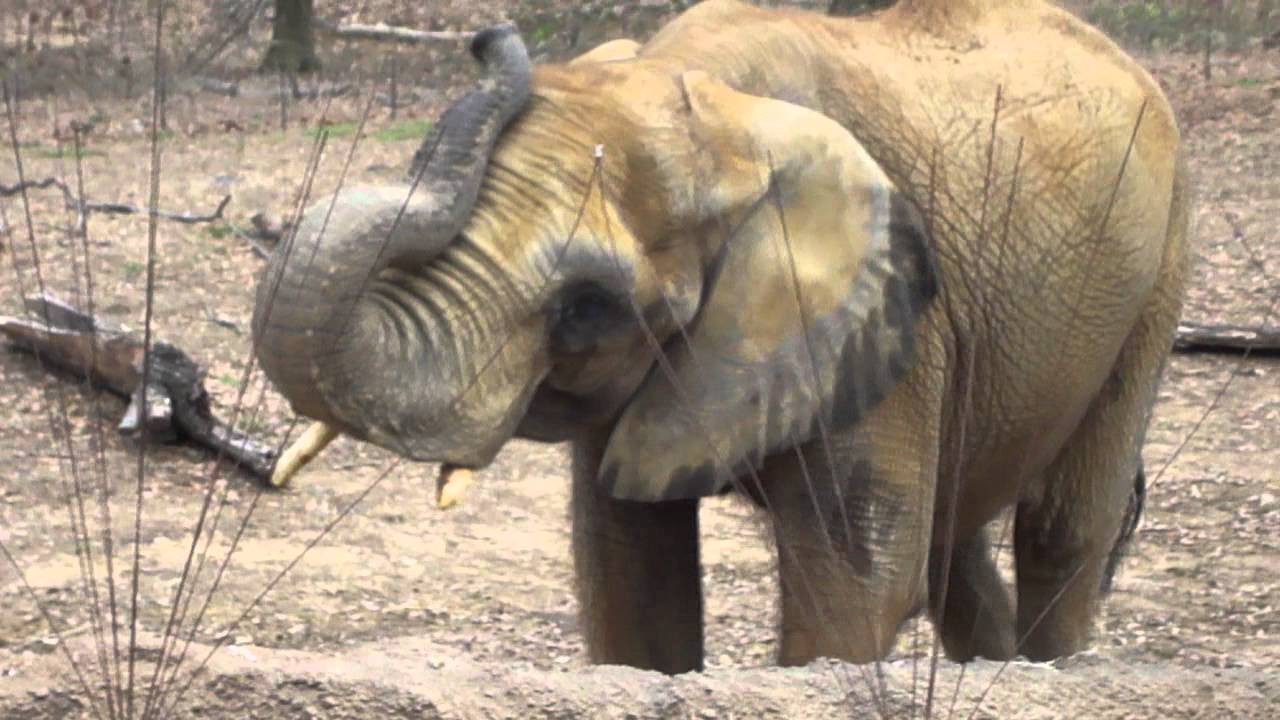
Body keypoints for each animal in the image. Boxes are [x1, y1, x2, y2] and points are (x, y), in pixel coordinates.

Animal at [251, 0, 1189, 674]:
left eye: (586, 306)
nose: (493, 38)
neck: (709, 97)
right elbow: (629, 578)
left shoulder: (892, 322)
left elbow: (855, 590)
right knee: (956, 536)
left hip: (1159, 275)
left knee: (1063, 528)